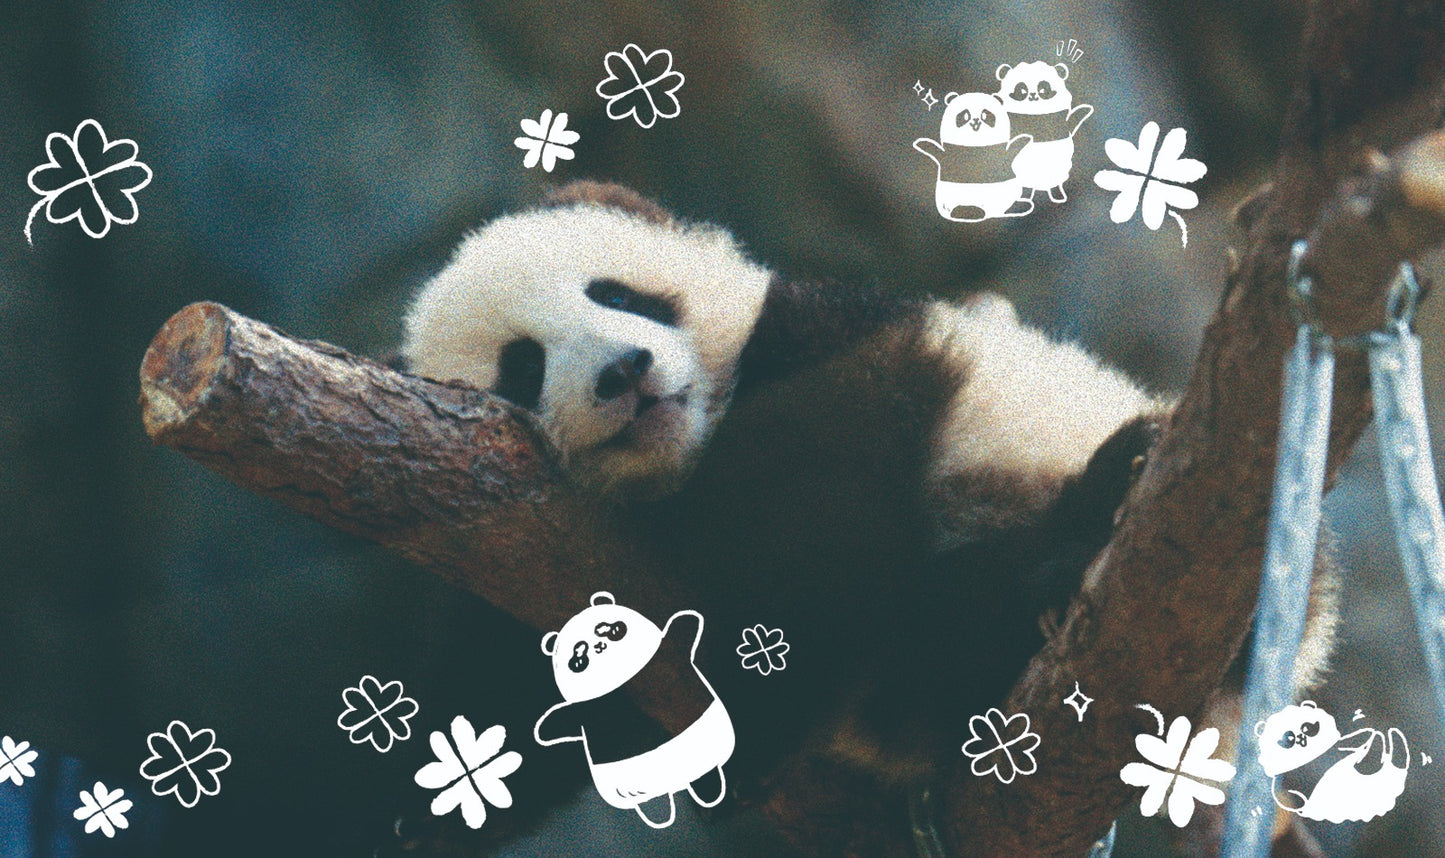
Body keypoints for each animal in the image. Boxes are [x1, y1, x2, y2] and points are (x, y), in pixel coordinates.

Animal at [400, 180, 1338, 791]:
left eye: (619, 295)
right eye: (524, 367)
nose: (625, 372)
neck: (694, 453)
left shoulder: (835, 335)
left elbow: (835, 480)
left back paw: (1090, 519)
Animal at [912, 91, 1034, 222]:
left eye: (985, 115)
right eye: (966, 115)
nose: (976, 121)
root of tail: (994, 213)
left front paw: (1023, 139)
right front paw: (923, 144)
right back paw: (969, 212)